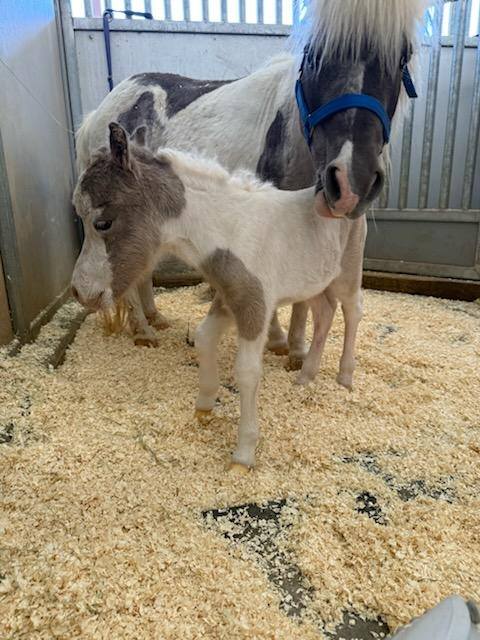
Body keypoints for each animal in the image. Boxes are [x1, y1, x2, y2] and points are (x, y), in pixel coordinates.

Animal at [72, 123, 368, 469]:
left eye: (102, 222)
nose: (81, 291)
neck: (229, 232)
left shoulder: (254, 306)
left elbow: (248, 371)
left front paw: (243, 453)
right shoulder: (228, 299)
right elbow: (203, 338)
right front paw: (203, 407)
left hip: (347, 273)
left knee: (352, 311)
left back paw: (345, 377)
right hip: (314, 282)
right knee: (324, 313)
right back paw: (306, 377)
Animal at [75, 0, 427, 367]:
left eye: (402, 57)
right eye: (314, 55)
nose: (349, 180)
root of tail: (101, 111)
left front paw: (296, 351)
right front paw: (277, 341)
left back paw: (155, 318)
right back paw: (143, 332)